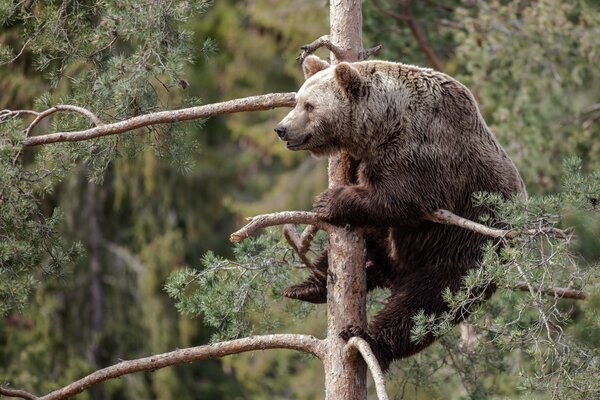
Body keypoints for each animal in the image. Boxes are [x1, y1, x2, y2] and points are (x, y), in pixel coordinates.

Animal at [276, 54, 524, 370]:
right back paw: (308, 287)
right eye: (297, 101)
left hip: (466, 251)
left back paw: (369, 339)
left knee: (424, 304)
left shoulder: (422, 152)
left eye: (309, 105)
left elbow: (402, 199)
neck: (384, 123)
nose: (281, 128)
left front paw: (328, 201)